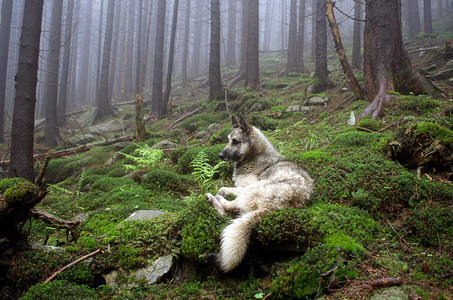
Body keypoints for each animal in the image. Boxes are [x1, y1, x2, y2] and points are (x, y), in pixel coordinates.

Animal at [204, 115, 312, 272]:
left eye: (235, 141)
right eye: (228, 140)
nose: (220, 155)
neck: (254, 155)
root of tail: (275, 208)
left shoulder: (244, 186)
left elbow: (224, 188)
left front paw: (220, 192)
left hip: (252, 189)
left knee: (227, 209)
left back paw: (213, 198)